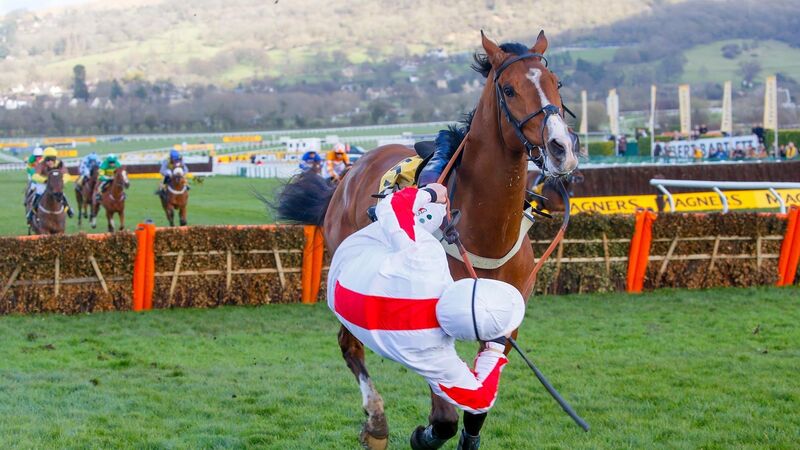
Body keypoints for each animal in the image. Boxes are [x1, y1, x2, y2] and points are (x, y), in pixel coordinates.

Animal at [275, 31, 579, 449]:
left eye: (556, 83)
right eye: (510, 89)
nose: (560, 149)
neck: (486, 234)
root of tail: (348, 175)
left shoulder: (505, 325)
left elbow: (476, 409)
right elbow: (445, 416)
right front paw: (424, 434)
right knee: (349, 343)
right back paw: (376, 423)